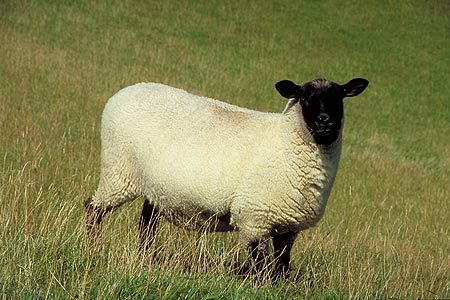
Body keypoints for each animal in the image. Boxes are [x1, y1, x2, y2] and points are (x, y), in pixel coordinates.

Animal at [84, 77, 370, 278]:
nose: (325, 121)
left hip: (156, 187)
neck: (284, 140)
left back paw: (147, 259)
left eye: (339, 97)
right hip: (118, 171)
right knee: (93, 208)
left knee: (147, 222)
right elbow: (264, 266)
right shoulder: (254, 218)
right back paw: (94, 248)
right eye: (304, 97)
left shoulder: (288, 225)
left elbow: (282, 264)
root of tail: (123, 93)